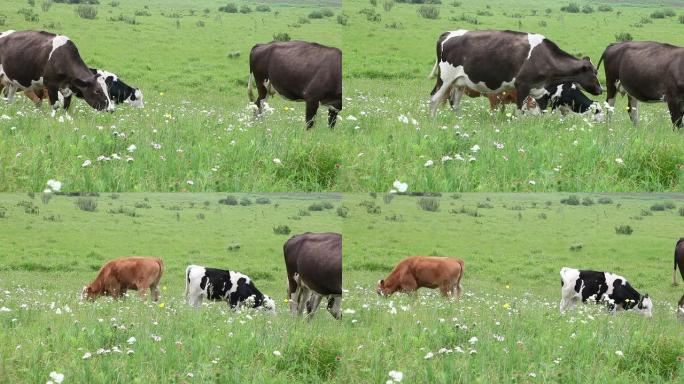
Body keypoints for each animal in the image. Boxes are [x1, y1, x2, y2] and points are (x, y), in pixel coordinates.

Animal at [430, 29, 600, 116]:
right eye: (594, 73)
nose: (600, 89)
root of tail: (447, 33)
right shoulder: (522, 86)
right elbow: (519, 113)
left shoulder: (539, 92)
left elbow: (541, 113)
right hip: (445, 79)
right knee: (434, 99)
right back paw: (433, 122)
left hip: (459, 82)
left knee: (455, 103)